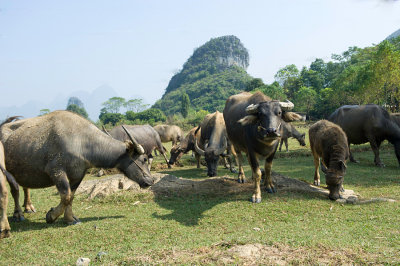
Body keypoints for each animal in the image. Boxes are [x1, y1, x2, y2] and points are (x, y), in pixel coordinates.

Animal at [0, 110, 153, 224]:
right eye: (144, 159)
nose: (150, 180)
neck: (82, 141)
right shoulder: (56, 171)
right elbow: (66, 195)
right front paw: (51, 215)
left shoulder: (78, 174)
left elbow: (71, 196)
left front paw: (69, 218)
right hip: (8, 171)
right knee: (15, 190)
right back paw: (18, 214)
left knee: (25, 187)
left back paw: (28, 207)